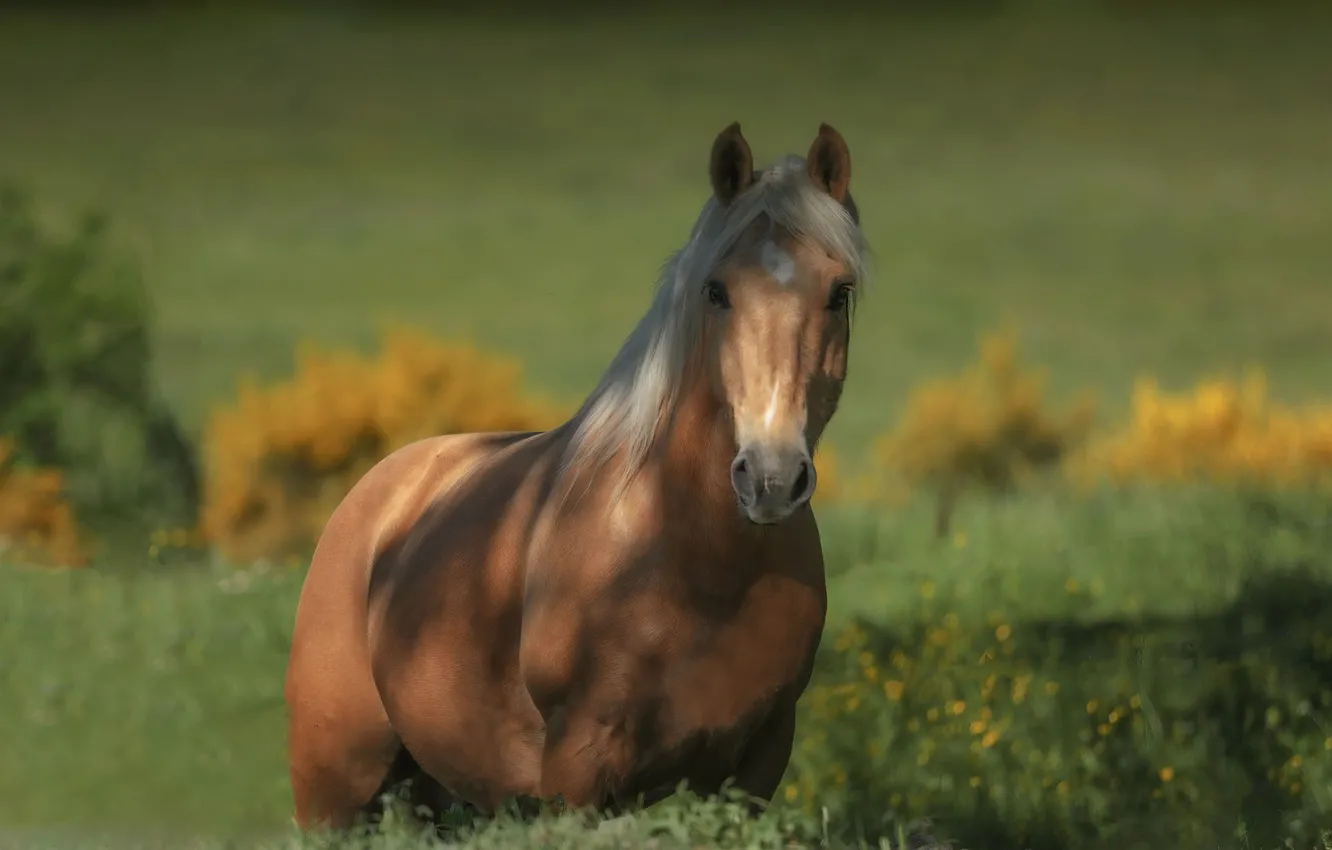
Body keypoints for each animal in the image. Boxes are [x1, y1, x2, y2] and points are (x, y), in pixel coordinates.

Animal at [284, 121, 869, 831]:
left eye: (838, 292)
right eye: (716, 290)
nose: (771, 477)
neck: (685, 557)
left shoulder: (755, 765)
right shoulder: (578, 774)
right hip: (334, 796)